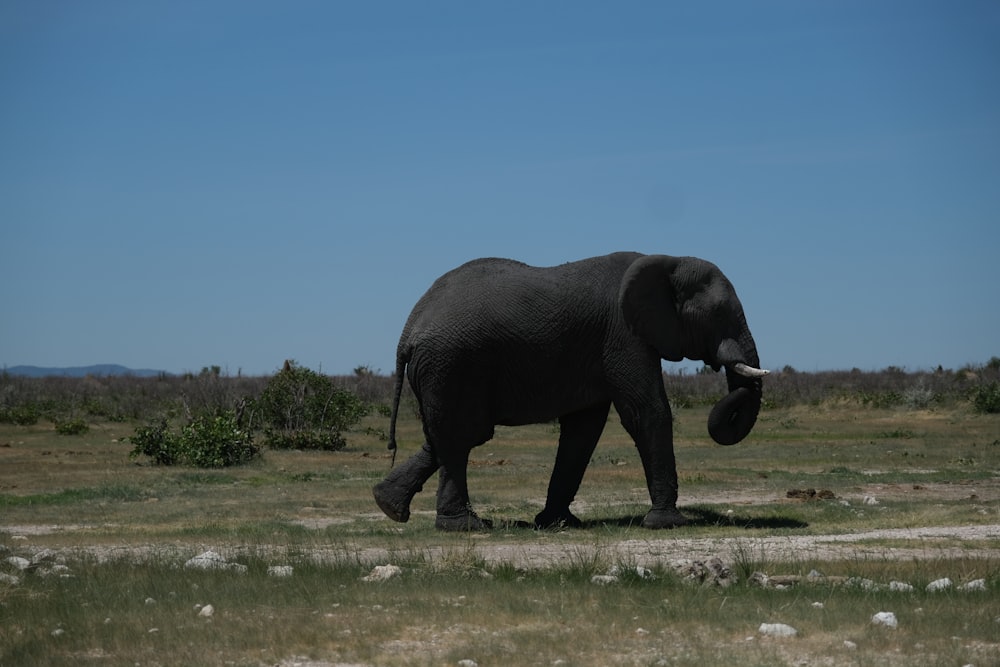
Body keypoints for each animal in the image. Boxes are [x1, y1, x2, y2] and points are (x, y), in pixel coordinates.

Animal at [372, 250, 768, 532]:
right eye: (720, 313)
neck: (666, 259)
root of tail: (408, 332)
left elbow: (583, 429)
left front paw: (558, 524)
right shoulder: (624, 336)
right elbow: (647, 412)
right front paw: (667, 524)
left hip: (441, 371)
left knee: (446, 436)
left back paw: (388, 506)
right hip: (452, 364)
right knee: (461, 436)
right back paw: (464, 527)